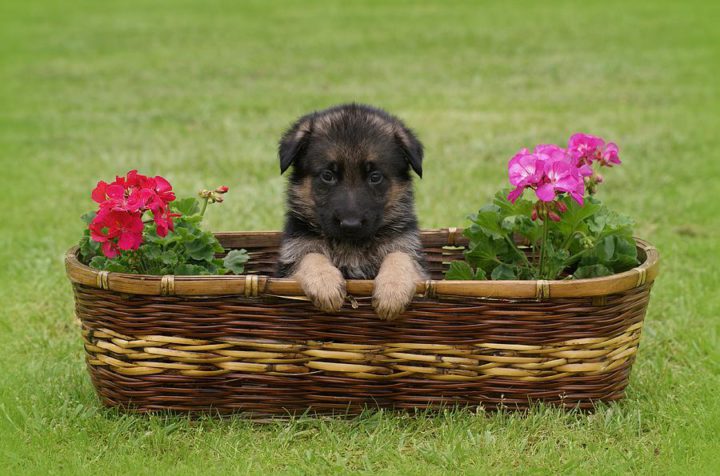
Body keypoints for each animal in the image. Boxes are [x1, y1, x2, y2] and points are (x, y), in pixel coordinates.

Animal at [278, 103, 428, 320]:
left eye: (375, 176)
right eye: (327, 175)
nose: (351, 225)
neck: (351, 247)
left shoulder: (408, 250)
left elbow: (400, 257)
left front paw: (393, 291)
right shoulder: (290, 263)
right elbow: (310, 256)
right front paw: (325, 283)